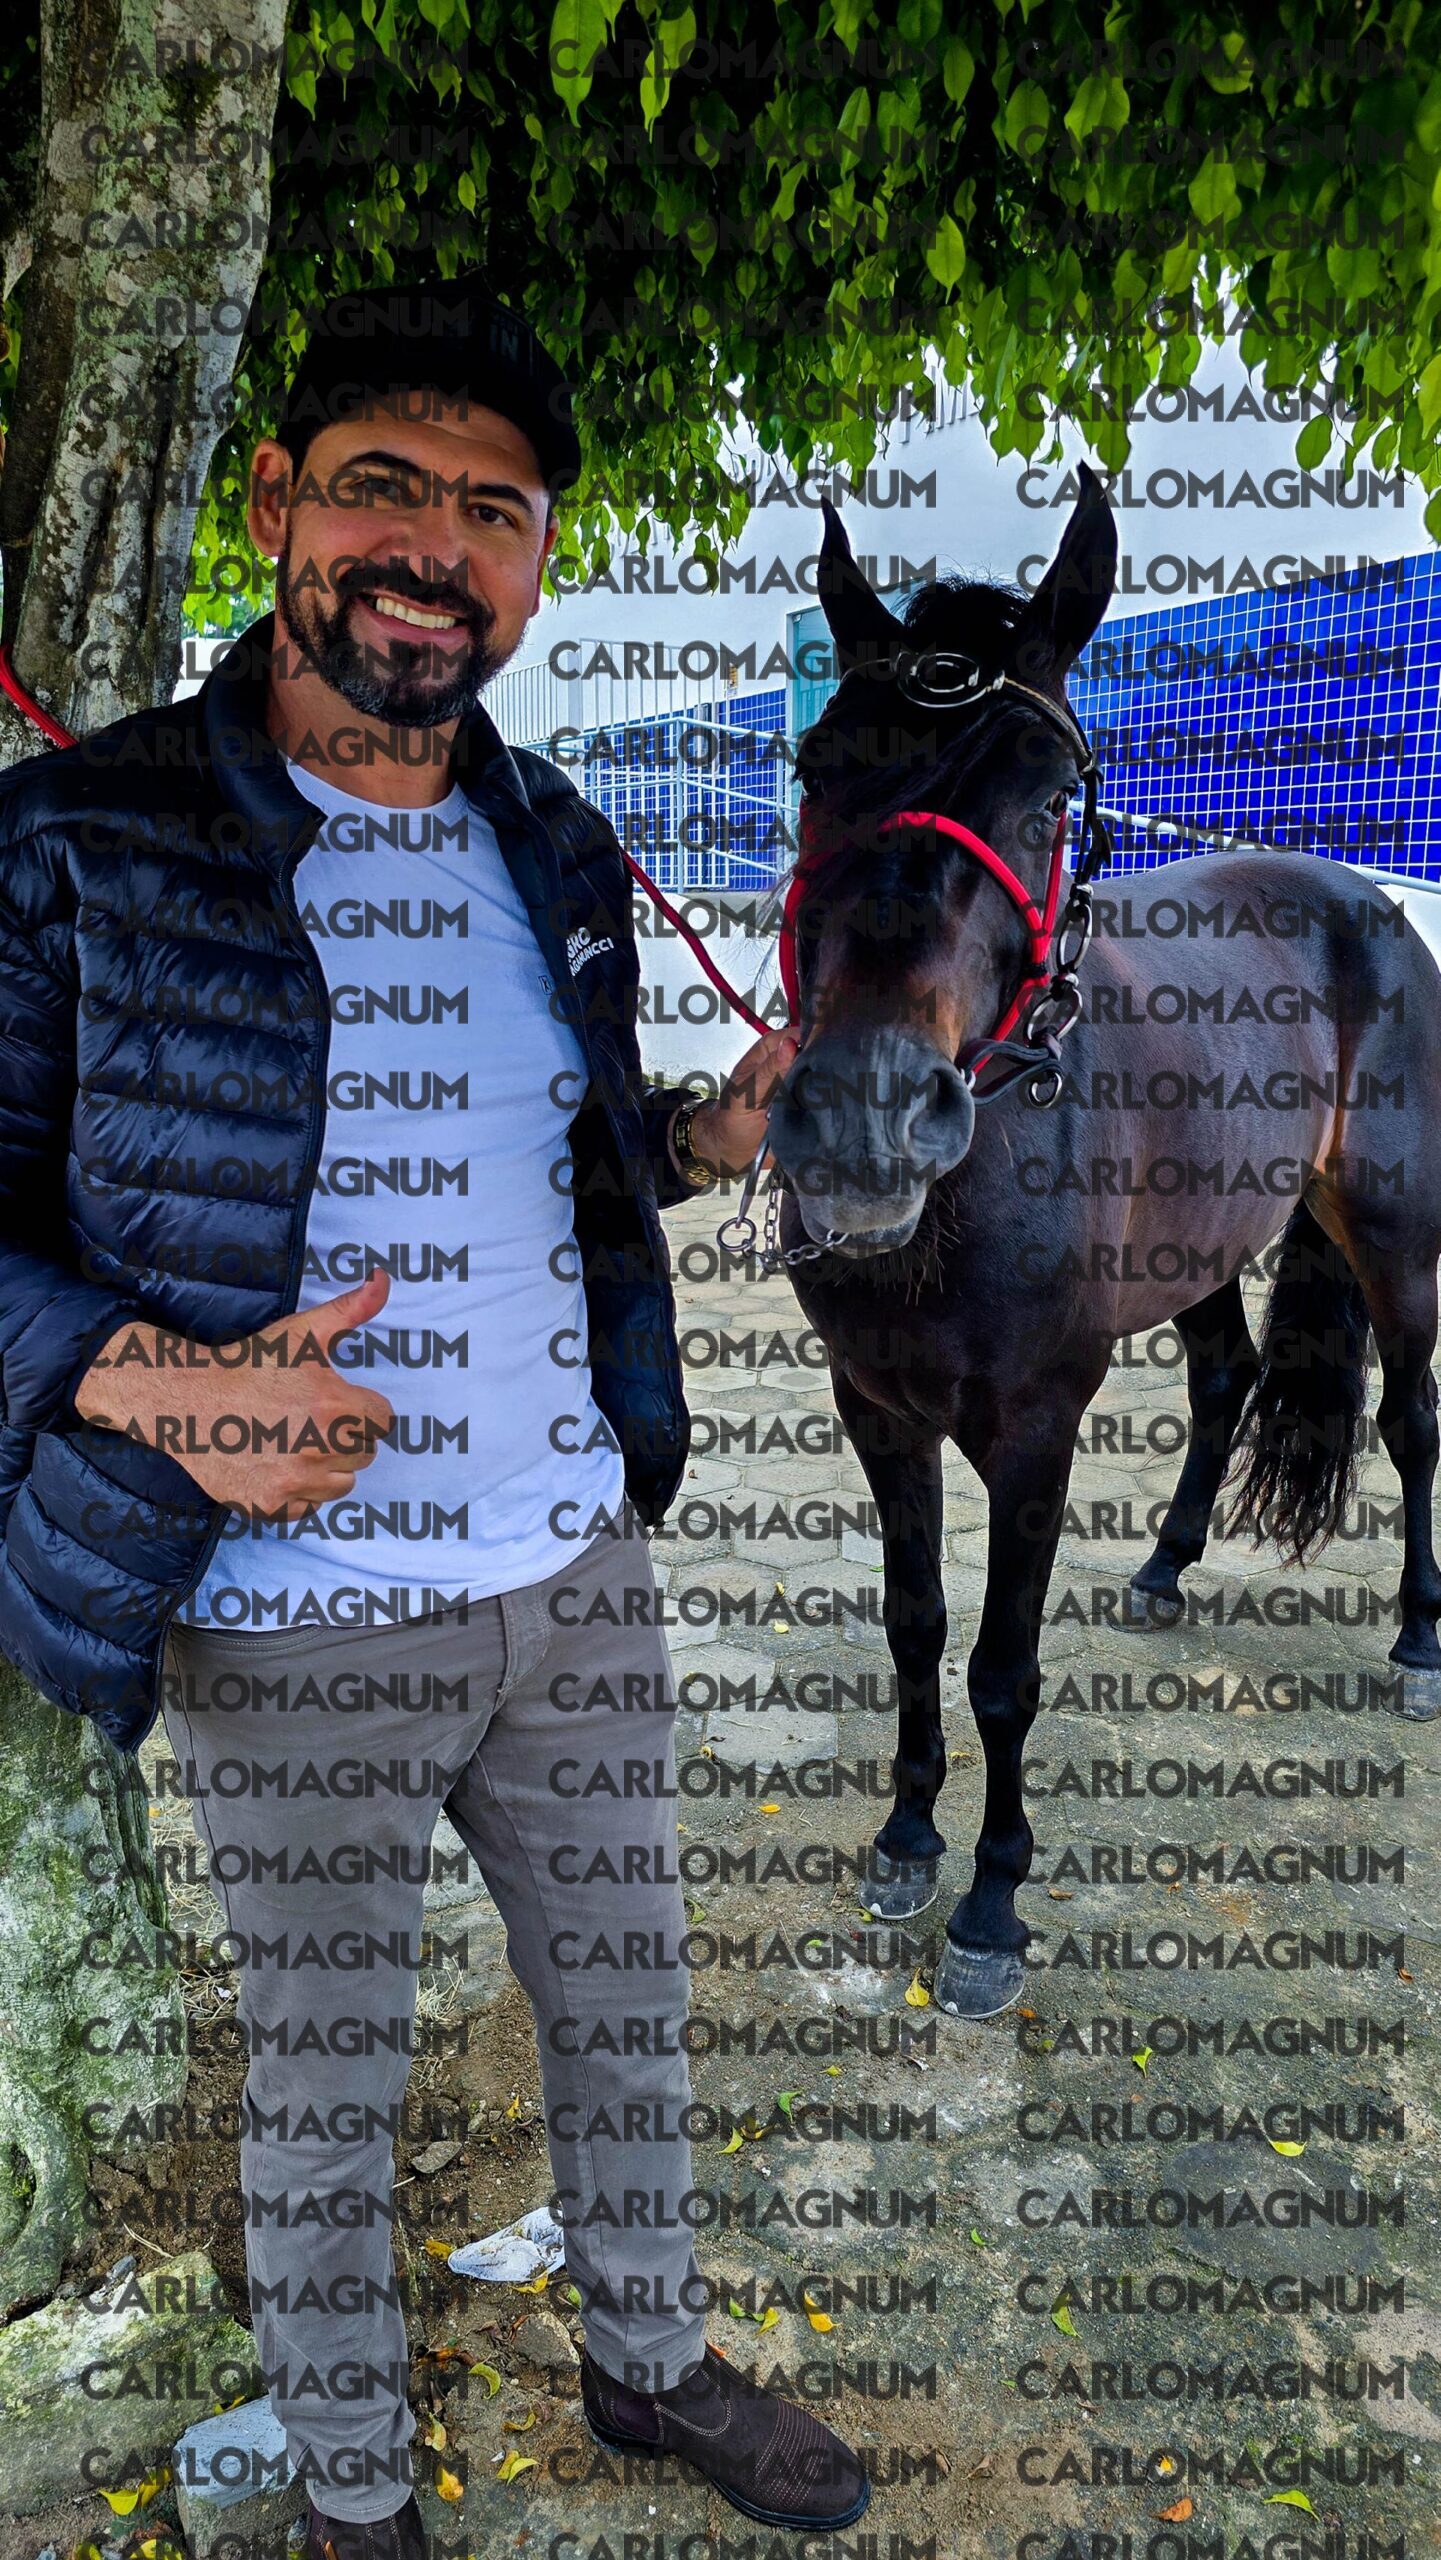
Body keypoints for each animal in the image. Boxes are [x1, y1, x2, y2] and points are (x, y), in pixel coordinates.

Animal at [759, 466, 1441, 2019]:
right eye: (820, 765)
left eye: (1044, 792)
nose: (862, 1119)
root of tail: (1363, 899)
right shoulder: (871, 1406)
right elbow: (913, 1621)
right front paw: (905, 1838)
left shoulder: (1035, 1425)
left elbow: (1003, 1665)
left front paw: (991, 1909)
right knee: (1225, 1377)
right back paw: (1165, 1568)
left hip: (1393, 1232)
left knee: (1416, 1418)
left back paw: (1421, 1634)